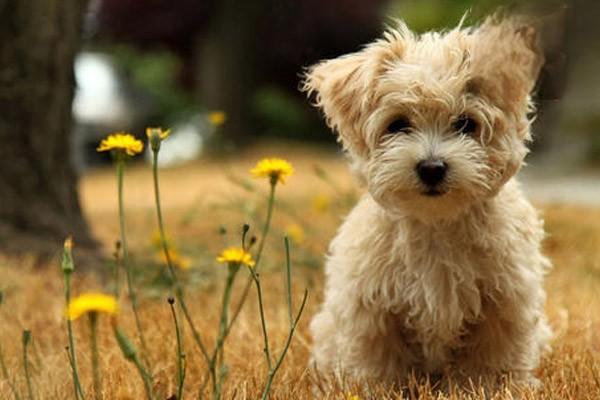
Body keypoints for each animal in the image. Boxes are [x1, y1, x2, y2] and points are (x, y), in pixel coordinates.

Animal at [304, 16, 552, 390]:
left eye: (465, 124)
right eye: (398, 124)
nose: (432, 167)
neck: (437, 223)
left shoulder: (506, 300)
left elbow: (494, 356)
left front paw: (492, 388)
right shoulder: (371, 306)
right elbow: (378, 360)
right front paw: (379, 389)